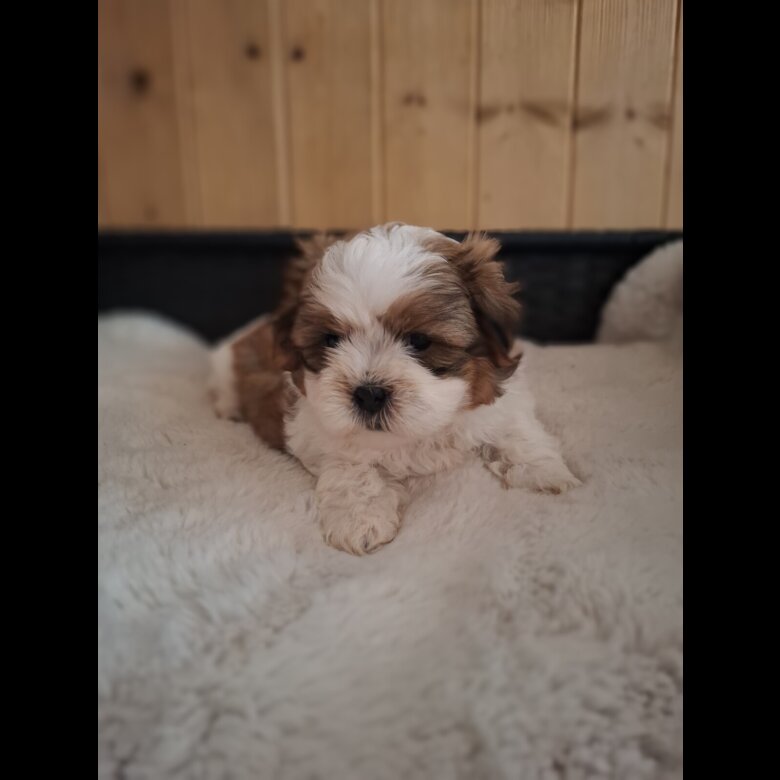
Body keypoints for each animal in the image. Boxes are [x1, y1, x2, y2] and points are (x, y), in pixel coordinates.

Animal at [209, 223, 580, 555]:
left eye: (419, 341)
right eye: (331, 340)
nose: (368, 393)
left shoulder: (499, 400)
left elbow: (515, 428)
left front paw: (543, 472)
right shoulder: (323, 429)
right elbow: (352, 467)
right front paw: (359, 520)